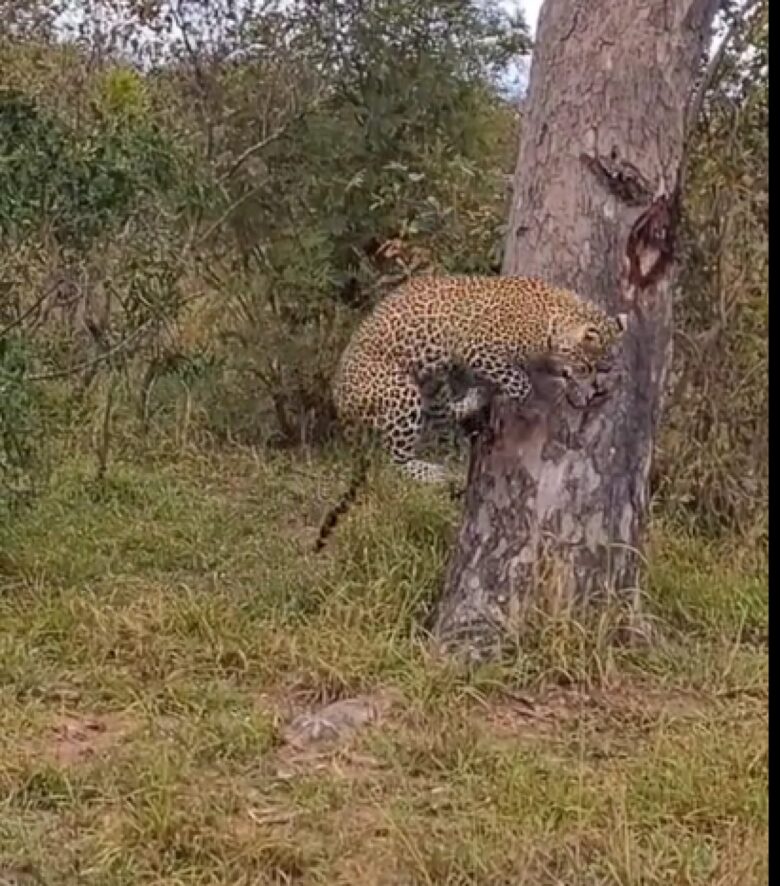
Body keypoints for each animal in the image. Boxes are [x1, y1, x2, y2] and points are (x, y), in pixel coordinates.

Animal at [314, 276, 632, 556]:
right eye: (587, 367)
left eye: (604, 368)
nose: (596, 391)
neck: (551, 320)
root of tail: (339, 401)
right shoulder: (478, 350)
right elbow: (520, 381)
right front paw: (531, 404)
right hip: (401, 392)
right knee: (393, 462)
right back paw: (439, 472)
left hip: (433, 382)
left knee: (441, 413)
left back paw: (476, 399)